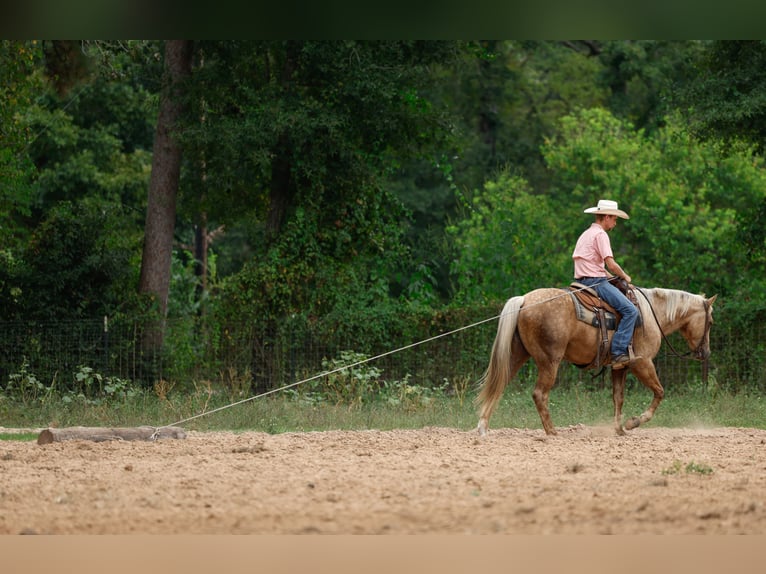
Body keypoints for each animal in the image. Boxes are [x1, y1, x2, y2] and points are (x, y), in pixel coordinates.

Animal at [476, 288, 716, 436]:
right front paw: (634, 422)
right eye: (711, 322)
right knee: (539, 394)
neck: (651, 314)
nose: (705, 352)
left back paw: (483, 427)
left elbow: (618, 398)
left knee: (498, 385)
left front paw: (619, 429)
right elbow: (659, 392)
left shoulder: (620, 366)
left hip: (517, 355)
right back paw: (552, 432)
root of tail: (524, 300)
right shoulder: (643, 363)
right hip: (550, 361)